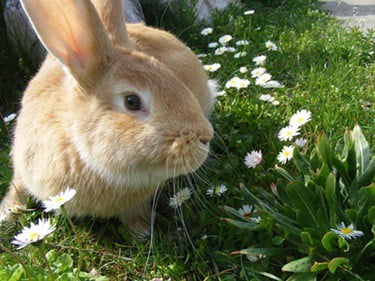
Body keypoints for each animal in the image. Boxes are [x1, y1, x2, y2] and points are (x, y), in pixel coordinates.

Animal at [0, 0, 214, 233]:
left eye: (173, 77)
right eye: (132, 101)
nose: (206, 137)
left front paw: (142, 231)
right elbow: (18, 188)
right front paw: (7, 214)